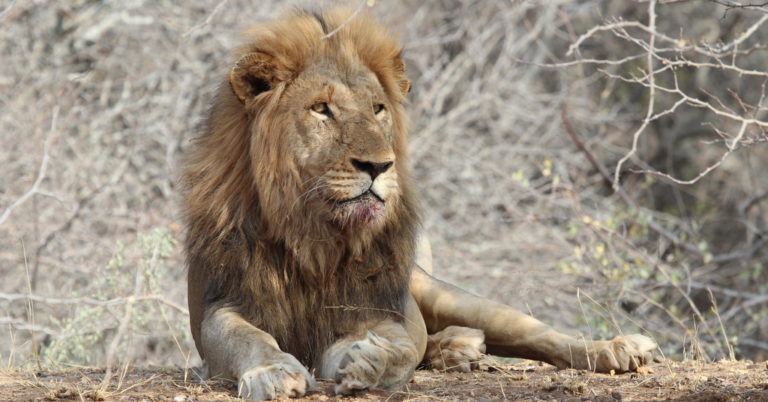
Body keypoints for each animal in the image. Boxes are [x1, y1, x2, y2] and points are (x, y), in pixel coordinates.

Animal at [178, 7, 656, 400]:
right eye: (321, 109)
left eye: (377, 109)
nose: (378, 165)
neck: (312, 235)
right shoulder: (223, 304)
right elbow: (247, 339)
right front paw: (275, 373)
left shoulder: (376, 307)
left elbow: (401, 346)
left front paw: (372, 362)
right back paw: (458, 348)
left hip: (443, 293)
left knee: (537, 334)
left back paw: (617, 348)